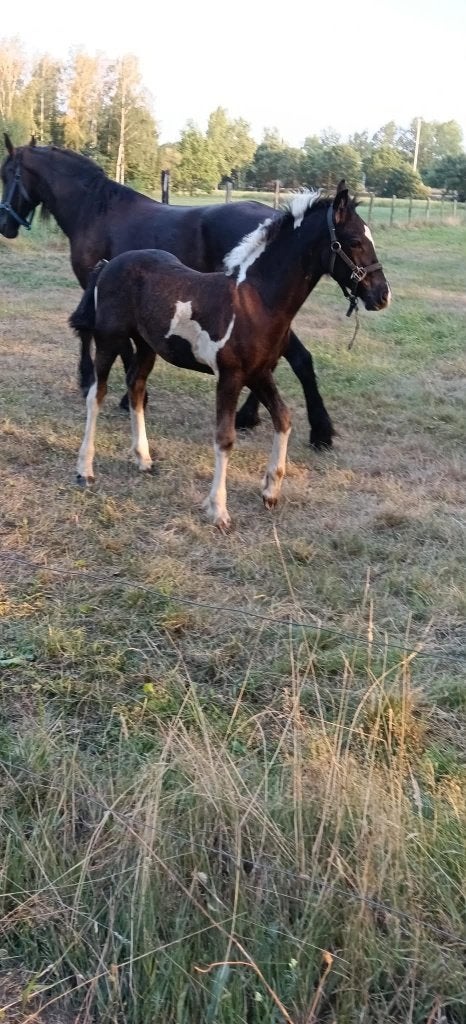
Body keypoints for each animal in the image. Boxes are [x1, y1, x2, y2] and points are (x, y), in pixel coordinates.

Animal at [2, 135, 335, 450]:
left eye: (8, 175)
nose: (5, 225)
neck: (96, 210)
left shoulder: (95, 287)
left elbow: (100, 338)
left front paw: (101, 385)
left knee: (295, 358)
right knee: (294, 358)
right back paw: (288, 424)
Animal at [69, 184, 390, 530]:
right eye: (354, 241)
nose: (382, 296)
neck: (255, 301)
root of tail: (108, 264)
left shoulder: (261, 373)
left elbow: (284, 418)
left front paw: (270, 491)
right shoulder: (231, 376)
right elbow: (225, 438)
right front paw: (218, 510)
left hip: (146, 347)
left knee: (136, 389)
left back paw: (144, 459)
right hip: (109, 340)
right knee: (96, 394)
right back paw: (85, 470)